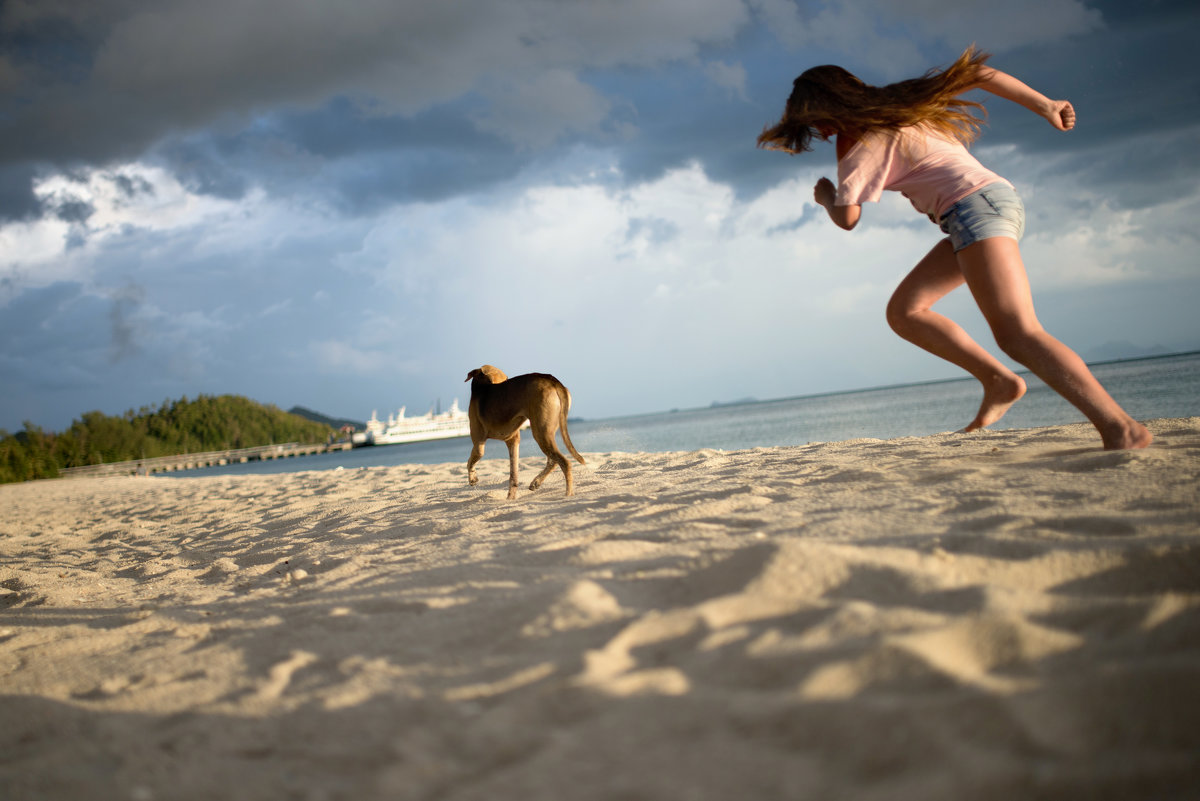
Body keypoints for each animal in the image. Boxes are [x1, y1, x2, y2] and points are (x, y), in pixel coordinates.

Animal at [463, 364, 585, 501]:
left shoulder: (478, 443)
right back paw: (536, 482)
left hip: (540, 433)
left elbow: (470, 461)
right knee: (553, 461)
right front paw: (510, 498)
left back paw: (568, 494)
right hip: (546, 432)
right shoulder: (513, 440)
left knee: (565, 463)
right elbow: (513, 476)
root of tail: (553, 380)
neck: (482, 387)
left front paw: (472, 479)